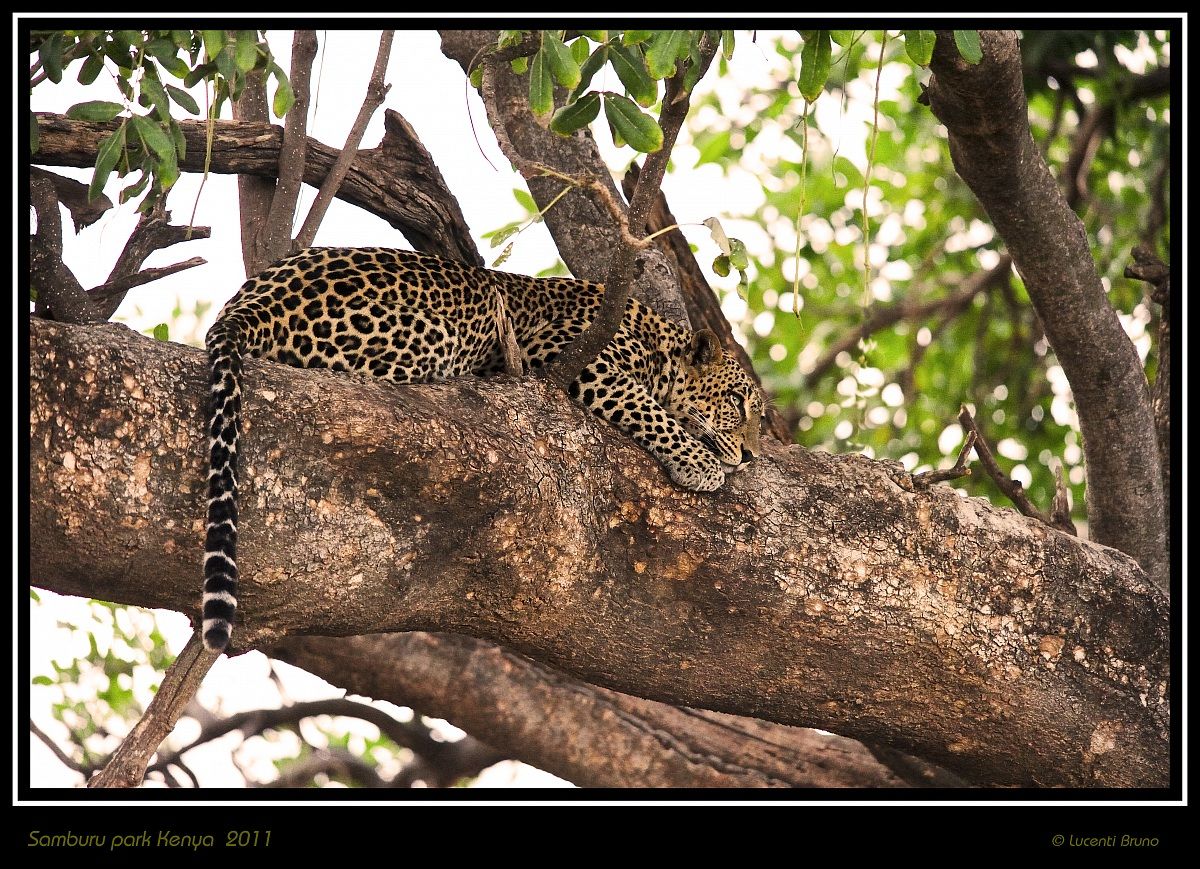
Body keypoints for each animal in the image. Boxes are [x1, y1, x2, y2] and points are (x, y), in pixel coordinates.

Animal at [202, 247, 765, 652]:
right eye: (739, 403)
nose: (753, 456)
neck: (658, 343)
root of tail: (250, 303)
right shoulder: (571, 356)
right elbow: (648, 407)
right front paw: (701, 462)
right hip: (433, 337)